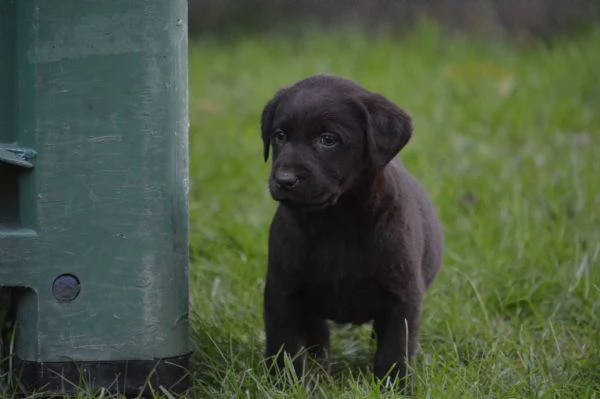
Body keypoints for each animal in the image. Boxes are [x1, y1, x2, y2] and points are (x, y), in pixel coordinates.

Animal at [260, 75, 442, 394]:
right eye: (279, 135)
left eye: (328, 139)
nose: (284, 180)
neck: (336, 221)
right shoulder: (282, 290)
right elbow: (284, 345)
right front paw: (283, 386)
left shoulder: (403, 296)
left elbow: (395, 349)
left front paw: (394, 388)